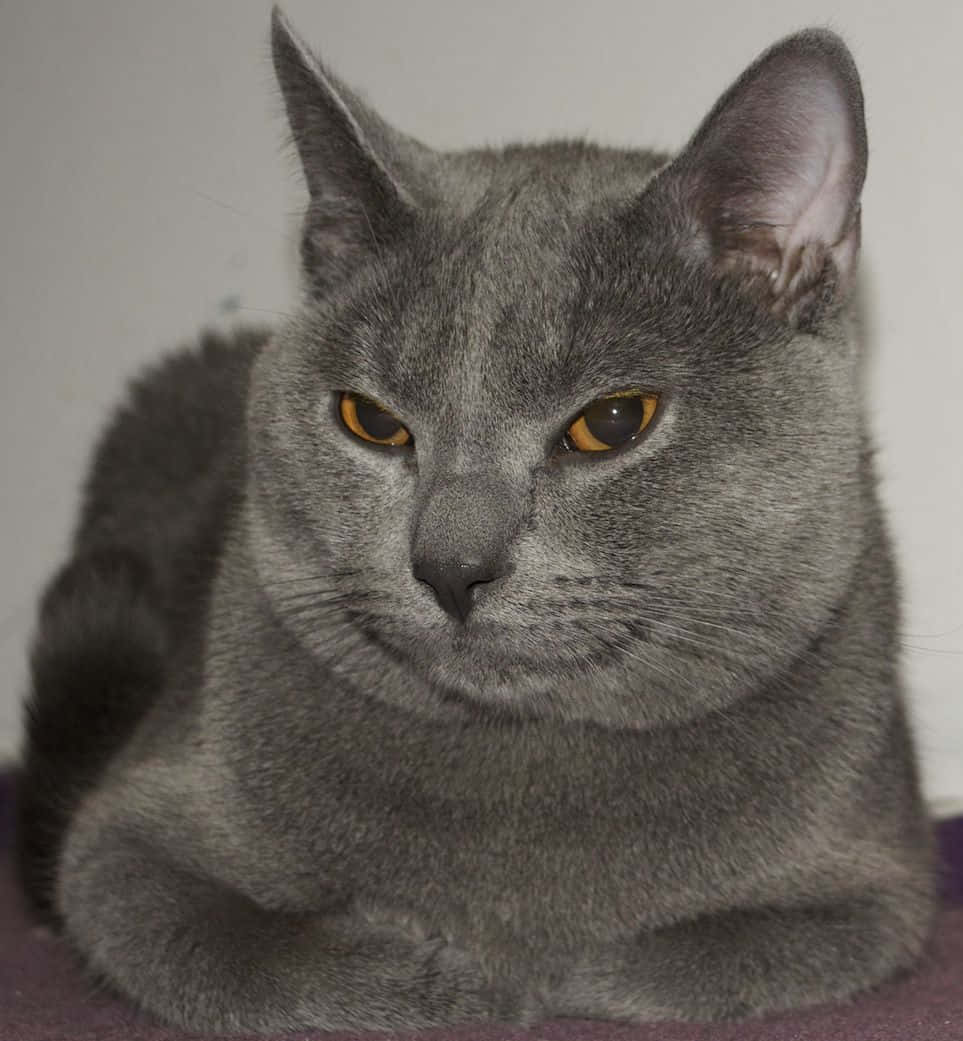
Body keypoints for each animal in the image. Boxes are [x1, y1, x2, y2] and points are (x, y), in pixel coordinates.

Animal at [15, 6, 936, 1032]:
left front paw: (542, 975)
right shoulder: (122, 841)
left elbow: (689, 962)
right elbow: (236, 955)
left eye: (613, 422)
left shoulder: (878, 884)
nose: (449, 564)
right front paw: (448, 978)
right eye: (370, 421)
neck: (522, 760)